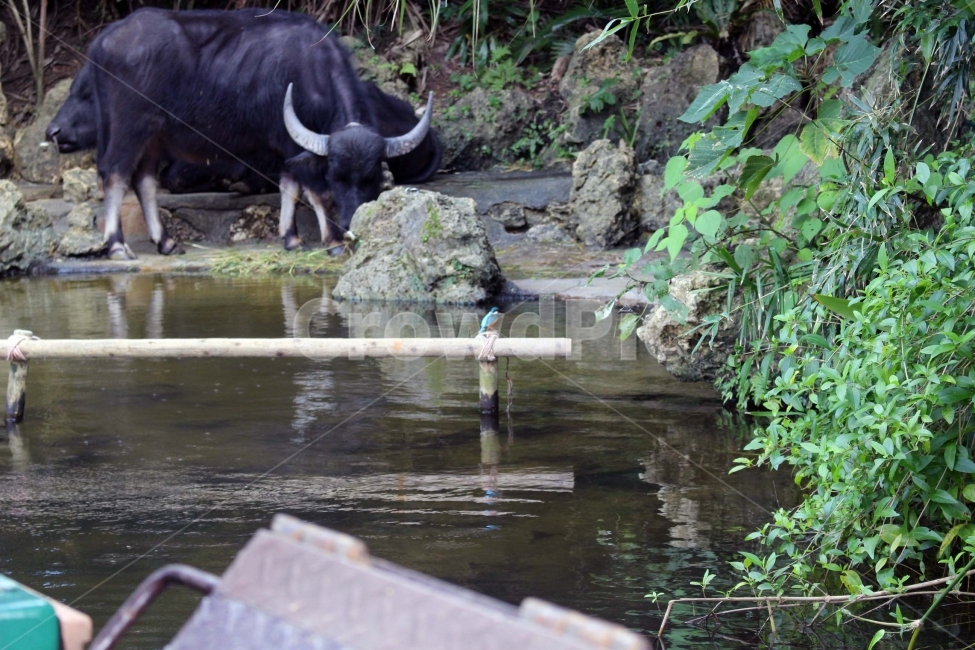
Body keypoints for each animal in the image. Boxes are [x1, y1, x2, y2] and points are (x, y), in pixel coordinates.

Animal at [72, 8, 438, 259]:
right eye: (336, 175)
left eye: (371, 176)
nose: (351, 224)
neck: (311, 72)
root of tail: (102, 42)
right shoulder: (294, 143)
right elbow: (315, 192)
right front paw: (332, 241)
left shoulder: (289, 149)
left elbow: (289, 186)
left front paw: (291, 237)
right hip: (129, 126)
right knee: (115, 174)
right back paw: (117, 246)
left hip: (154, 136)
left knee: (145, 180)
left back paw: (167, 242)